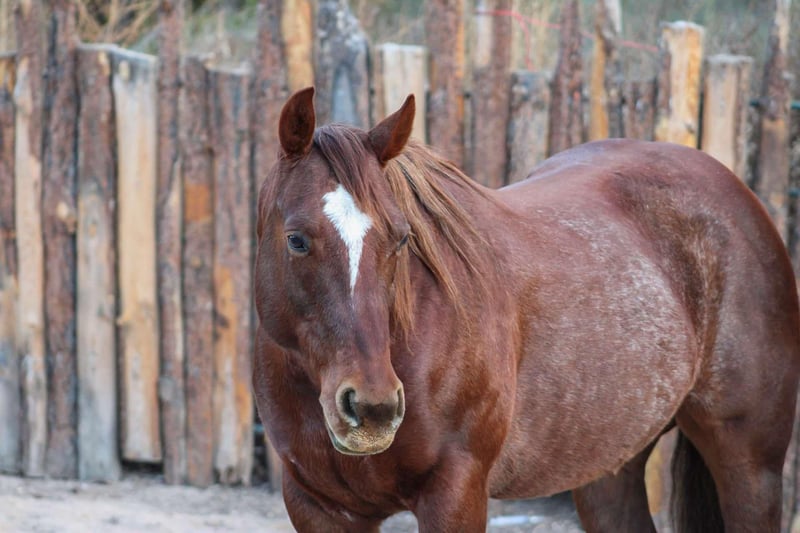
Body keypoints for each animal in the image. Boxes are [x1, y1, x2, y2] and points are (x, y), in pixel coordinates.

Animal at [252, 86, 800, 533]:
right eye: (296, 240)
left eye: (402, 238)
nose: (372, 409)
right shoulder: (317, 506)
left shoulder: (456, 494)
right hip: (607, 468)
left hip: (750, 465)